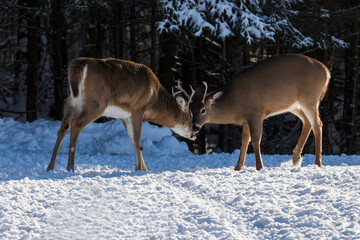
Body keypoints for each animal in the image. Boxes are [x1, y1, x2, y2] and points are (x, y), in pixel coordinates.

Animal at [47, 57, 197, 172]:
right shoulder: (138, 109)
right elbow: (137, 139)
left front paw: (143, 168)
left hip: (71, 101)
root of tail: (78, 66)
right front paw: (139, 169)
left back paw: (50, 167)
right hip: (96, 103)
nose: (194, 135)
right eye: (190, 116)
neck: (154, 97)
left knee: (63, 126)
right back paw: (70, 168)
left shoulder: (125, 116)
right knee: (76, 124)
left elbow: (133, 140)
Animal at [193, 54, 330, 171]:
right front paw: (238, 167)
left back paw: (317, 162)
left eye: (203, 110)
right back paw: (296, 159)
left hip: (309, 99)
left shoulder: (255, 113)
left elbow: (255, 139)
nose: (195, 127)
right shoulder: (246, 119)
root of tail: (326, 72)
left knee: (318, 124)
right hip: (294, 105)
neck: (233, 105)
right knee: (307, 122)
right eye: (191, 109)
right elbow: (244, 141)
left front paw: (259, 166)